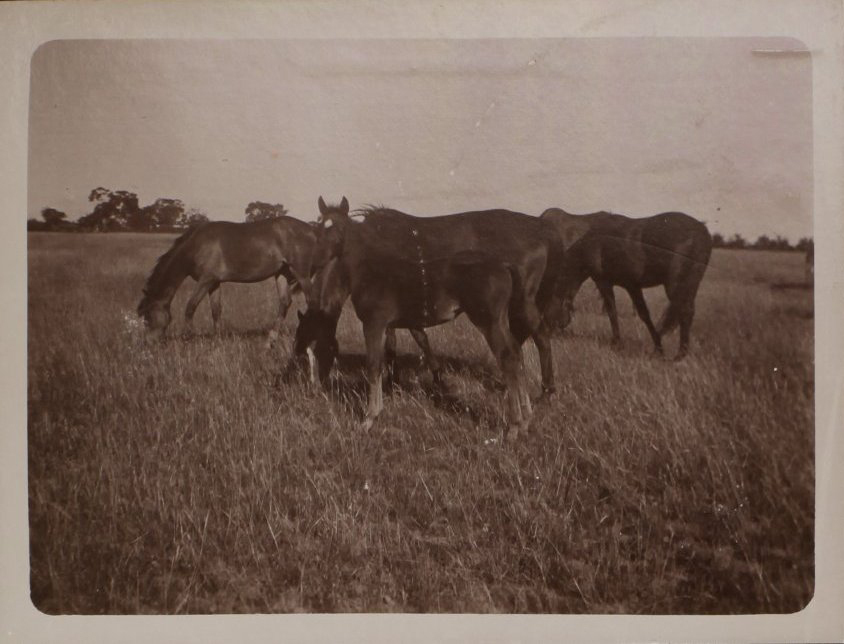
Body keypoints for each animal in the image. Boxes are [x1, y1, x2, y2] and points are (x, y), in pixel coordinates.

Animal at [137, 217, 316, 340]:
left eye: (148, 316)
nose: (149, 343)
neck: (196, 245)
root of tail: (311, 230)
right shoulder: (214, 282)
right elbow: (216, 310)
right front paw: (217, 339)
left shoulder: (206, 280)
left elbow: (190, 307)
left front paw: (188, 336)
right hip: (282, 274)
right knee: (284, 302)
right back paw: (272, 337)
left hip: (301, 274)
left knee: (310, 300)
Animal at [307, 197, 567, 439]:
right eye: (318, 226)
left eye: (339, 229)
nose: (315, 388)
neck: (372, 269)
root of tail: (504, 265)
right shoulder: (396, 323)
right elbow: (400, 351)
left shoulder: (374, 324)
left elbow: (374, 365)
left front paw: (369, 418)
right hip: (501, 319)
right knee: (516, 353)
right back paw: (526, 419)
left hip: (492, 320)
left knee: (513, 355)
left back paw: (518, 423)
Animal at [541, 208, 712, 359]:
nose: (551, 332)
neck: (594, 244)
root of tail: (702, 230)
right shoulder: (632, 286)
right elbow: (644, 315)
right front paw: (657, 348)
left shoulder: (605, 282)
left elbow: (613, 312)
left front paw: (617, 343)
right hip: (690, 285)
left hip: (677, 285)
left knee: (685, 312)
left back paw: (680, 354)